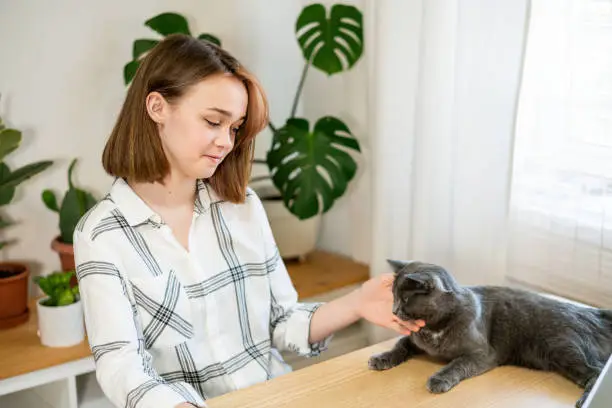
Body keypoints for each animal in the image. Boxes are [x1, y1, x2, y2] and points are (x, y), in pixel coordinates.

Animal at [368, 260, 612, 406]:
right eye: (393, 297)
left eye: (405, 298)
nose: (394, 310)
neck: (434, 328)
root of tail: (591, 312)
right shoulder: (414, 341)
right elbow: (399, 345)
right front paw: (381, 358)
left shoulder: (482, 354)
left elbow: (457, 364)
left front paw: (439, 379)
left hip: (564, 349)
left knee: (595, 372)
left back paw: (585, 400)